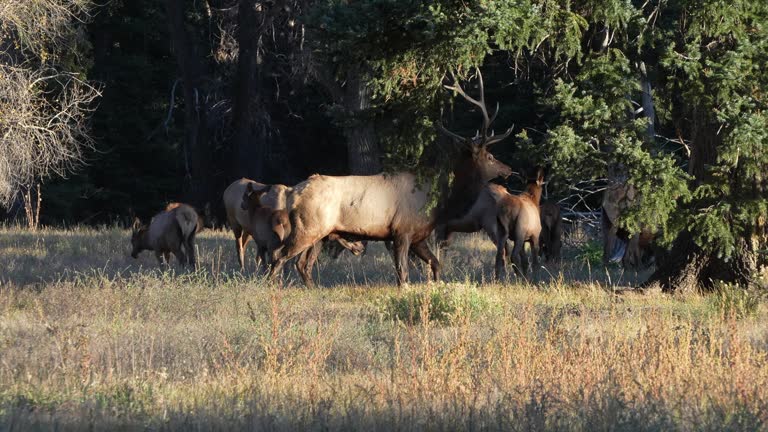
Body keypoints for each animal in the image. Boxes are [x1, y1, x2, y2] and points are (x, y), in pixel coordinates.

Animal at [267, 68, 514, 287]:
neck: (439, 204)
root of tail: (292, 193)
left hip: (323, 233)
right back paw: (270, 287)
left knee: (302, 264)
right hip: (308, 227)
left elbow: (435, 264)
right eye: (490, 156)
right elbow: (402, 274)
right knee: (279, 255)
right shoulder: (402, 230)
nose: (509, 169)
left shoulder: (419, 235)